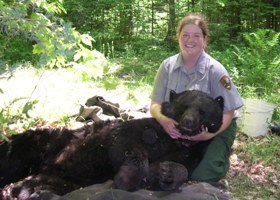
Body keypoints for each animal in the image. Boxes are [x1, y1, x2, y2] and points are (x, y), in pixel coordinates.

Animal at [0, 90, 223, 198]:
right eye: (185, 106)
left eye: (202, 110)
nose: (188, 122)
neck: (177, 139)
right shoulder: (138, 132)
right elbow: (127, 145)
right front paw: (127, 177)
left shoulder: (193, 153)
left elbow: (182, 169)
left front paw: (166, 173)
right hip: (45, 142)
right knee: (13, 154)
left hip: (66, 179)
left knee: (41, 183)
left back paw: (24, 191)